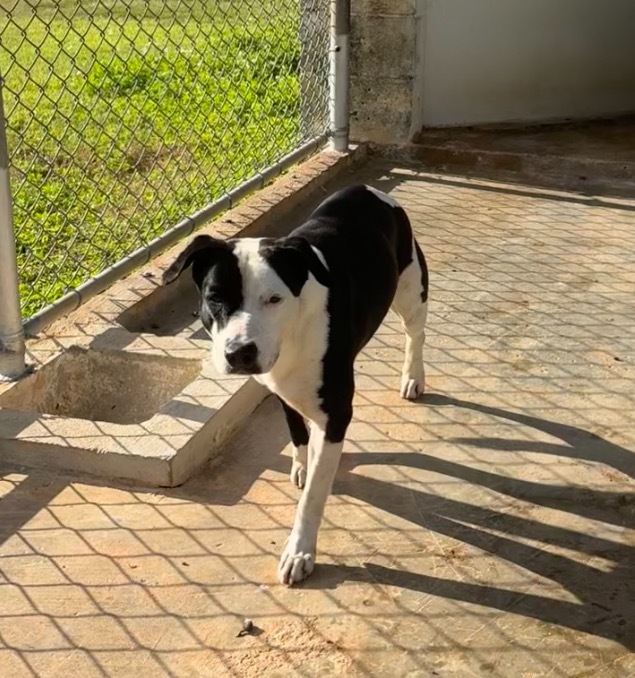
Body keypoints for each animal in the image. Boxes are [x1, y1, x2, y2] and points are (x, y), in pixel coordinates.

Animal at [166, 185, 430, 584]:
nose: (240, 353)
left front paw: (300, 551)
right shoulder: (276, 385)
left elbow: (314, 497)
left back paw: (413, 376)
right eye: (215, 298)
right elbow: (295, 429)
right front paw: (303, 463)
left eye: (274, 299)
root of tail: (366, 189)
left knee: (416, 333)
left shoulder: (335, 414)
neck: (294, 330)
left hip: (412, 291)